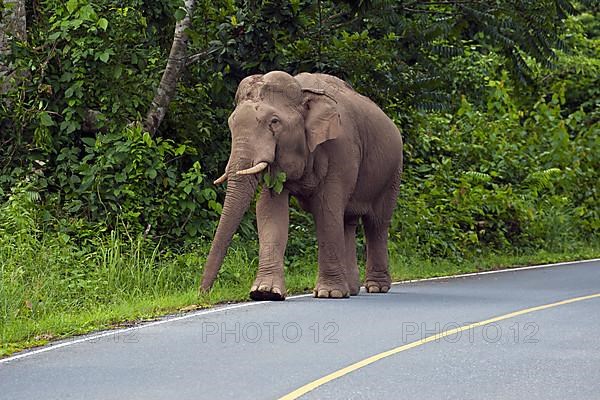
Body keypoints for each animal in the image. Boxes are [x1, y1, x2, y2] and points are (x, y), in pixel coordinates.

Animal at [200, 71, 404, 300]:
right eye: (231, 123)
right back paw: (351, 290)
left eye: (274, 122)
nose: (203, 293)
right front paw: (265, 292)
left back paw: (376, 287)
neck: (303, 91)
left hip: (392, 172)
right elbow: (269, 211)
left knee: (376, 223)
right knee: (348, 222)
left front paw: (329, 293)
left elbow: (327, 209)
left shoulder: (341, 149)